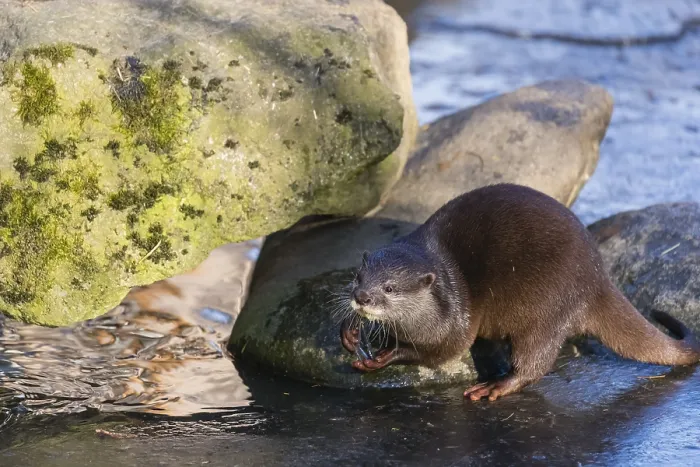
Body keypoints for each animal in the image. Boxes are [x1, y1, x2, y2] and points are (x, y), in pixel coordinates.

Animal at [339, 183, 700, 401]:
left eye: (390, 287)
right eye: (358, 276)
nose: (362, 297)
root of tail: (598, 279)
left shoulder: (455, 321)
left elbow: (443, 350)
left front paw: (385, 355)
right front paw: (349, 332)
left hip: (550, 306)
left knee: (535, 361)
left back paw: (496, 385)